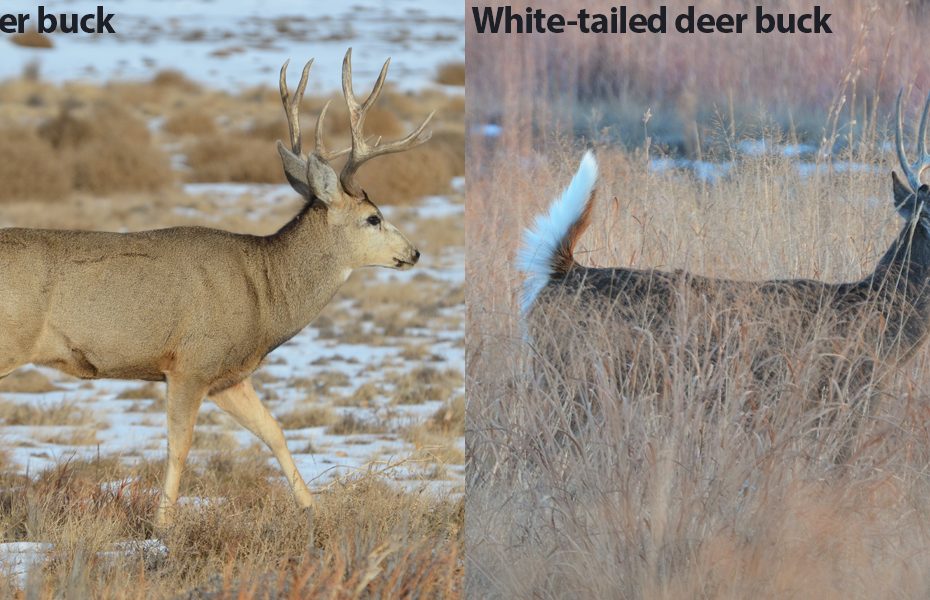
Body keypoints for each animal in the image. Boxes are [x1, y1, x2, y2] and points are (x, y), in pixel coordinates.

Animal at [0, 49, 430, 528]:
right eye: (374, 217)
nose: (413, 252)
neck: (263, 290)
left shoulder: (229, 375)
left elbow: (274, 432)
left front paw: (314, 510)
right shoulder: (191, 362)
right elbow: (180, 445)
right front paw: (162, 525)